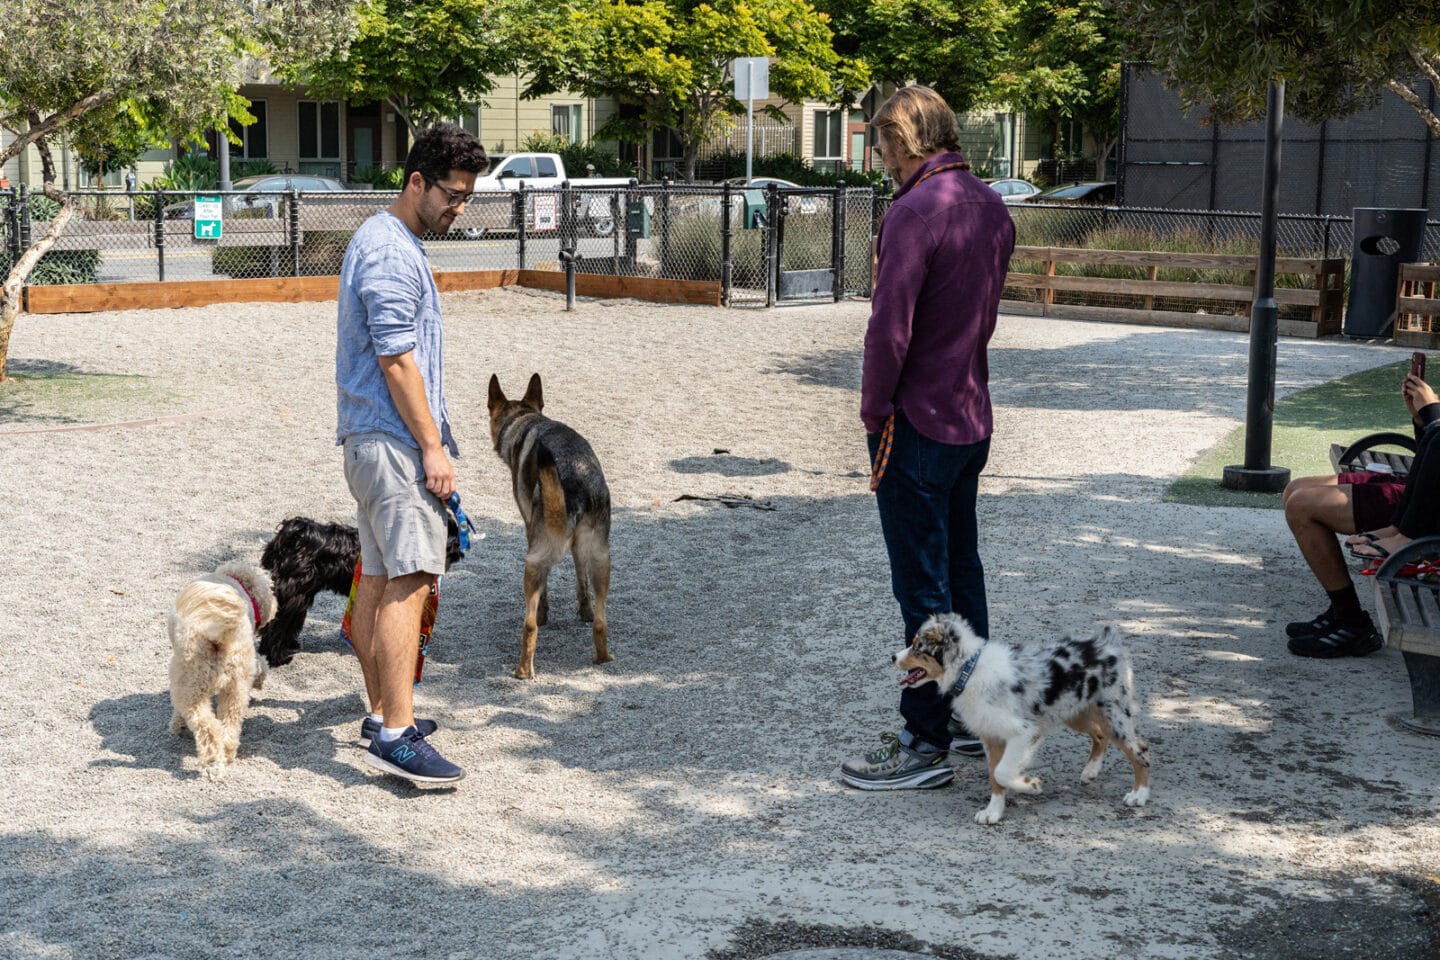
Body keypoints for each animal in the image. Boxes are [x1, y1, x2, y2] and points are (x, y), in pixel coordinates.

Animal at [167, 564, 276, 782]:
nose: (276, 605)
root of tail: (217, 634)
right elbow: (261, 665)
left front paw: (177, 724)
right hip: (236, 686)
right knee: (229, 727)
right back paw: (225, 755)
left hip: (191, 686)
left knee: (208, 728)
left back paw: (212, 764)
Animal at [489, 371, 613, 679]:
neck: (525, 419)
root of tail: (576, 483)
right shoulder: (579, 550)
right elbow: (580, 581)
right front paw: (584, 610)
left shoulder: (530, 534)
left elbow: (543, 600)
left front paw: (545, 613)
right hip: (602, 559)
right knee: (600, 623)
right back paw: (603, 657)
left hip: (533, 562)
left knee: (529, 625)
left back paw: (523, 671)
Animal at [892, 616, 1152, 829]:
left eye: (917, 647)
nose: (893, 657)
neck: (969, 671)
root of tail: (1107, 643)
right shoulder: (991, 736)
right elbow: (994, 776)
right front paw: (993, 812)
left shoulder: (1024, 732)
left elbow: (1003, 771)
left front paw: (1031, 785)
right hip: (1075, 712)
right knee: (1099, 735)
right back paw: (1091, 771)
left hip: (1113, 714)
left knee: (1140, 750)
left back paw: (1139, 795)